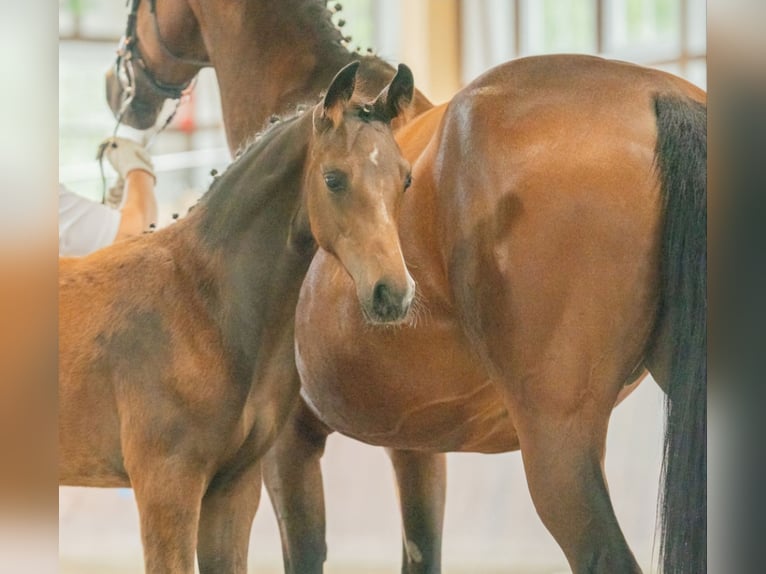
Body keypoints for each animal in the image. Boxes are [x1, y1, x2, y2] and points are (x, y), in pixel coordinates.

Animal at [60, 60, 418, 574]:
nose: (392, 294)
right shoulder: (166, 486)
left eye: (405, 179)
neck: (202, 306)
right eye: (333, 178)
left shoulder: (234, 488)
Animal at [102, 1, 707, 573]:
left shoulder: (285, 448)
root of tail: (657, 95)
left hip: (556, 439)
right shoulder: (415, 447)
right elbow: (421, 552)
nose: (116, 85)